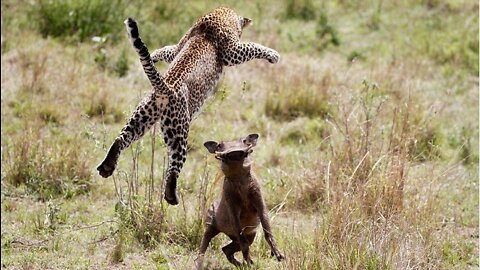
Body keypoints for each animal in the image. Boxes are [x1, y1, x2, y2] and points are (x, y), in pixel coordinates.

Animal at [95, 6, 280, 205]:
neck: (217, 17)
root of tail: (165, 87)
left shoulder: (177, 48)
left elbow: (168, 50)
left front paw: (153, 55)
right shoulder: (231, 52)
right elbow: (252, 46)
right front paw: (273, 55)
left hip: (142, 117)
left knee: (121, 138)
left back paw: (107, 167)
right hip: (179, 130)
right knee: (174, 164)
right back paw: (171, 196)